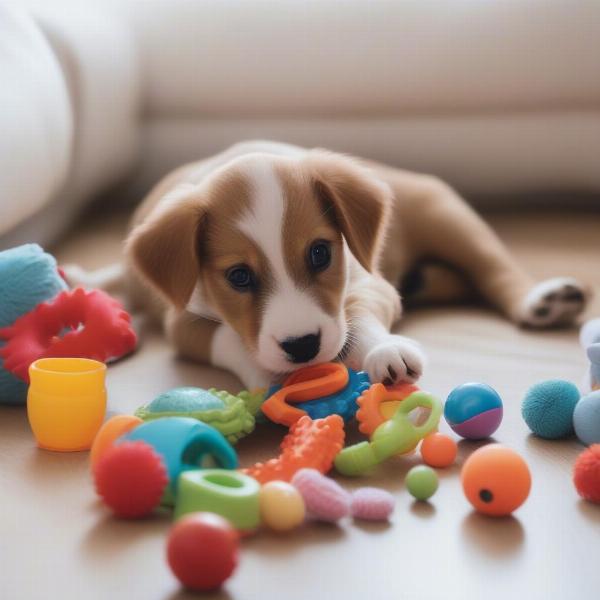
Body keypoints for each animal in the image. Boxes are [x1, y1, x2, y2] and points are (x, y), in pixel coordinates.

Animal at [82, 141, 588, 390]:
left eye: (320, 253)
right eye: (239, 277)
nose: (303, 345)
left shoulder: (370, 284)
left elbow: (358, 321)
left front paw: (384, 350)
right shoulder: (182, 321)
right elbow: (227, 338)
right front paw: (264, 372)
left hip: (444, 210)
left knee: (494, 267)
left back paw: (540, 300)